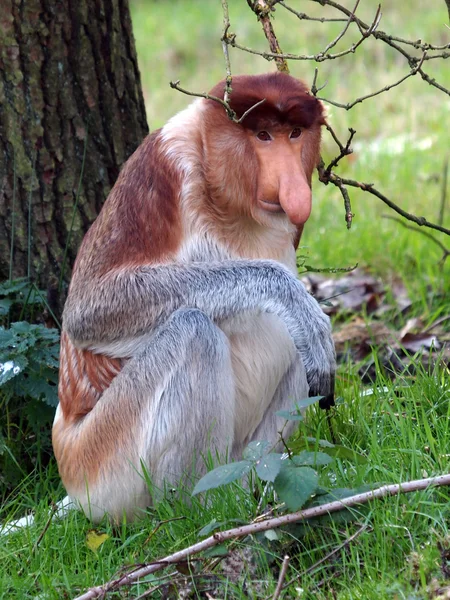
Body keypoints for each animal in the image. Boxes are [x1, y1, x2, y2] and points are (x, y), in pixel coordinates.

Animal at [51, 70, 334, 524]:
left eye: (294, 134)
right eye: (262, 136)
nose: (294, 190)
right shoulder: (158, 169)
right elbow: (88, 310)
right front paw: (295, 298)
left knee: (297, 348)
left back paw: (251, 486)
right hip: (99, 465)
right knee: (193, 331)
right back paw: (199, 504)